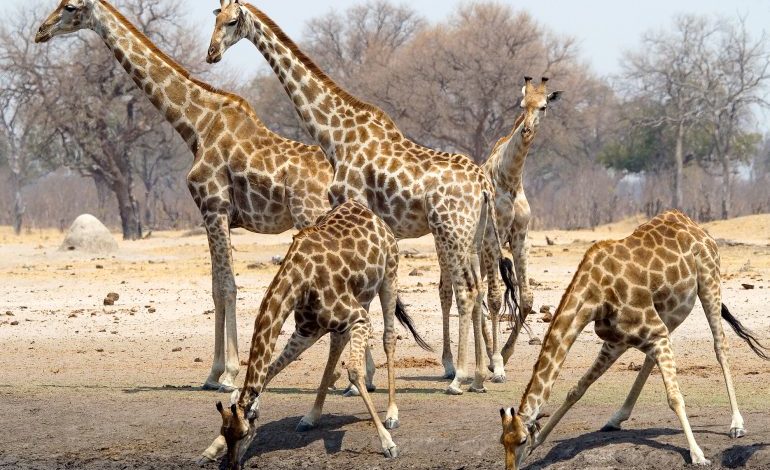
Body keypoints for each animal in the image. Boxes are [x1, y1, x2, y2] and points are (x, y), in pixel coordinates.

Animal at [34, 0, 332, 392]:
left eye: (70, 7)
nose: (41, 31)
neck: (195, 126)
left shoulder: (214, 208)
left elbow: (227, 286)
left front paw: (229, 375)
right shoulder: (211, 214)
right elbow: (215, 288)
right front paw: (212, 373)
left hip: (310, 216)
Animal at [196, 200, 432, 468]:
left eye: (245, 433)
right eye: (226, 432)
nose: (233, 465)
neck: (299, 280)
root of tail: (371, 214)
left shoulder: (359, 318)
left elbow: (354, 370)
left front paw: (387, 443)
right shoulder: (306, 330)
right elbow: (270, 371)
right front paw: (211, 449)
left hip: (389, 277)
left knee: (388, 338)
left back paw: (392, 414)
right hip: (354, 305)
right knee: (336, 347)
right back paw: (311, 416)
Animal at [206, 0, 516, 394]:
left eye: (232, 22)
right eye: (214, 18)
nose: (212, 54)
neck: (334, 134)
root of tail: (482, 183)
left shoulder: (351, 204)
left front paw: (358, 380)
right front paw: (362, 377)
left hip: (451, 230)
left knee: (466, 291)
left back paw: (460, 378)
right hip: (472, 235)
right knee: (476, 292)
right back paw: (478, 376)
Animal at [496, 210, 764, 470]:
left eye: (521, 440)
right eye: (503, 441)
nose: (511, 467)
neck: (594, 295)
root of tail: (697, 227)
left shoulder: (652, 331)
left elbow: (674, 397)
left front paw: (698, 454)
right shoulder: (617, 341)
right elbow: (577, 388)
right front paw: (540, 441)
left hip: (709, 283)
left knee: (720, 346)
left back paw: (736, 425)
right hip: (669, 314)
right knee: (650, 359)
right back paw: (615, 418)